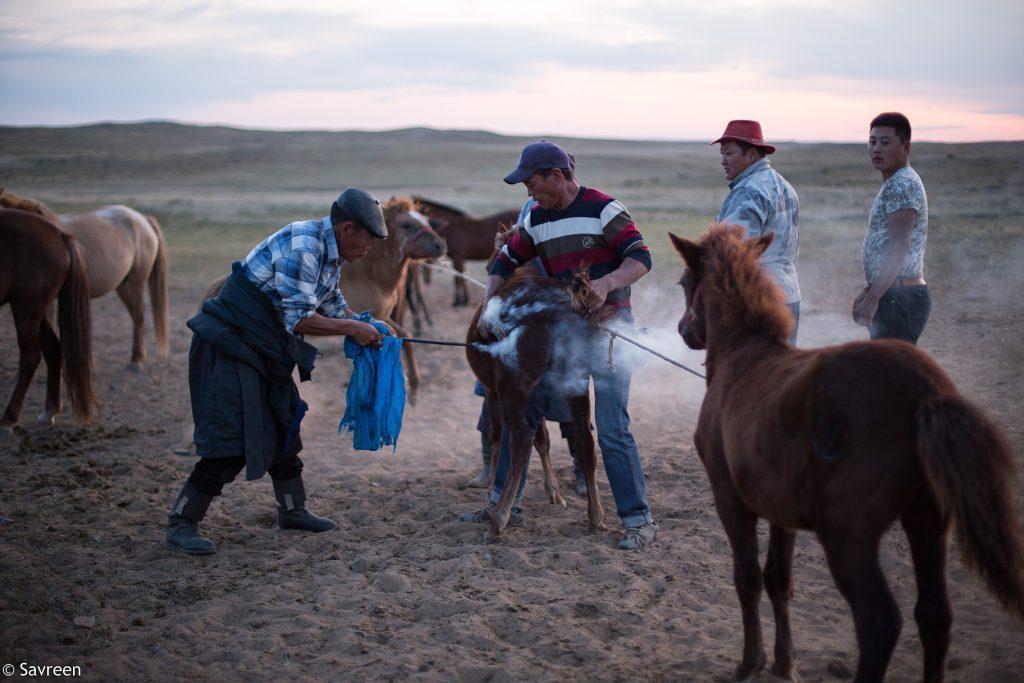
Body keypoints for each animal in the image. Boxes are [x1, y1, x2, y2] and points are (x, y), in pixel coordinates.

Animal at [0, 189, 169, 371]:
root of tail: (143, 219)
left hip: (136, 282)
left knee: (139, 314)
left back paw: (136, 360)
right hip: (123, 284)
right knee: (134, 314)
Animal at [1, 209, 96, 429]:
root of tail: (59, 235)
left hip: (27, 309)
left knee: (30, 357)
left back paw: (8, 417)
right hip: (38, 311)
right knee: (53, 350)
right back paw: (49, 411)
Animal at [202, 197, 445, 404]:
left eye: (425, 220)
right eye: (407, 225)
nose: (440, 246)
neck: (370, 277)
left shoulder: (380, 316)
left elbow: (405, 335)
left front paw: (413, 388)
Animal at [465, 271, 605, 542]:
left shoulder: (492, 392)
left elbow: (497, 437)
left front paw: (490, 491)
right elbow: (543, 439)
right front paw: (555, 492)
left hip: (512, 390)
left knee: (520, 440)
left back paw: (498, 520)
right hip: (575, 386)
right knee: (585, 441)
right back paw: (596, 516)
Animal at [670, 223, 1024, 682]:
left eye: (683, 281)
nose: (684, 329)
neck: (744, 353)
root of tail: (926, 392)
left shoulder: (730, 498)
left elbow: (747, 578)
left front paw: (751, 662)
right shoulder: (781, 510)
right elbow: (778, 579)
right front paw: (785, 663)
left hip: (848, 537)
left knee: (879, 622)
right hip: (928, 523)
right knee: (935, 617)